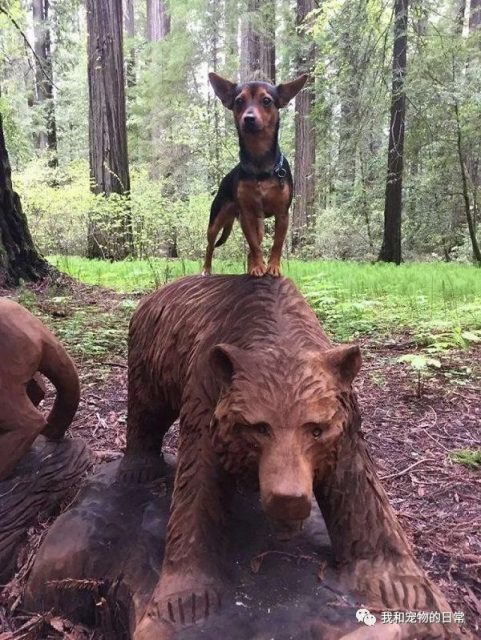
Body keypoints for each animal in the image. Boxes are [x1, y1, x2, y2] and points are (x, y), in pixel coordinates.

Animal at [201, 72, 306, 278]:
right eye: (239, 101)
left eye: (266, 101)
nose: (249, 118)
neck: (260, 166)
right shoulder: (247, 215)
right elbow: (255, 247)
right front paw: (259, 267)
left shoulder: (282, 215)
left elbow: (276, 244)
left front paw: (272, 267)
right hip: (216, 220)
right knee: (210, 245)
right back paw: (207, 269)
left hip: (259, 225)